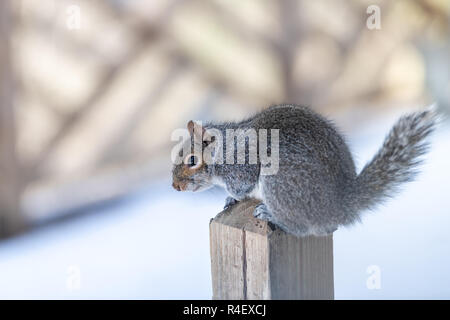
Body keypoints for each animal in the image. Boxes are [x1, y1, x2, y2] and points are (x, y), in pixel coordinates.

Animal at [171, 104, 436, 236]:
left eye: (192, 160)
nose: (175, 186)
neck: (224, 147)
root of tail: (339, 206)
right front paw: (228, 199)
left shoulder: (242, 165)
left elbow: (241, 186)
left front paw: (231, 196)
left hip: (281, 183)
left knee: (302, 228)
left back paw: (270, 215)